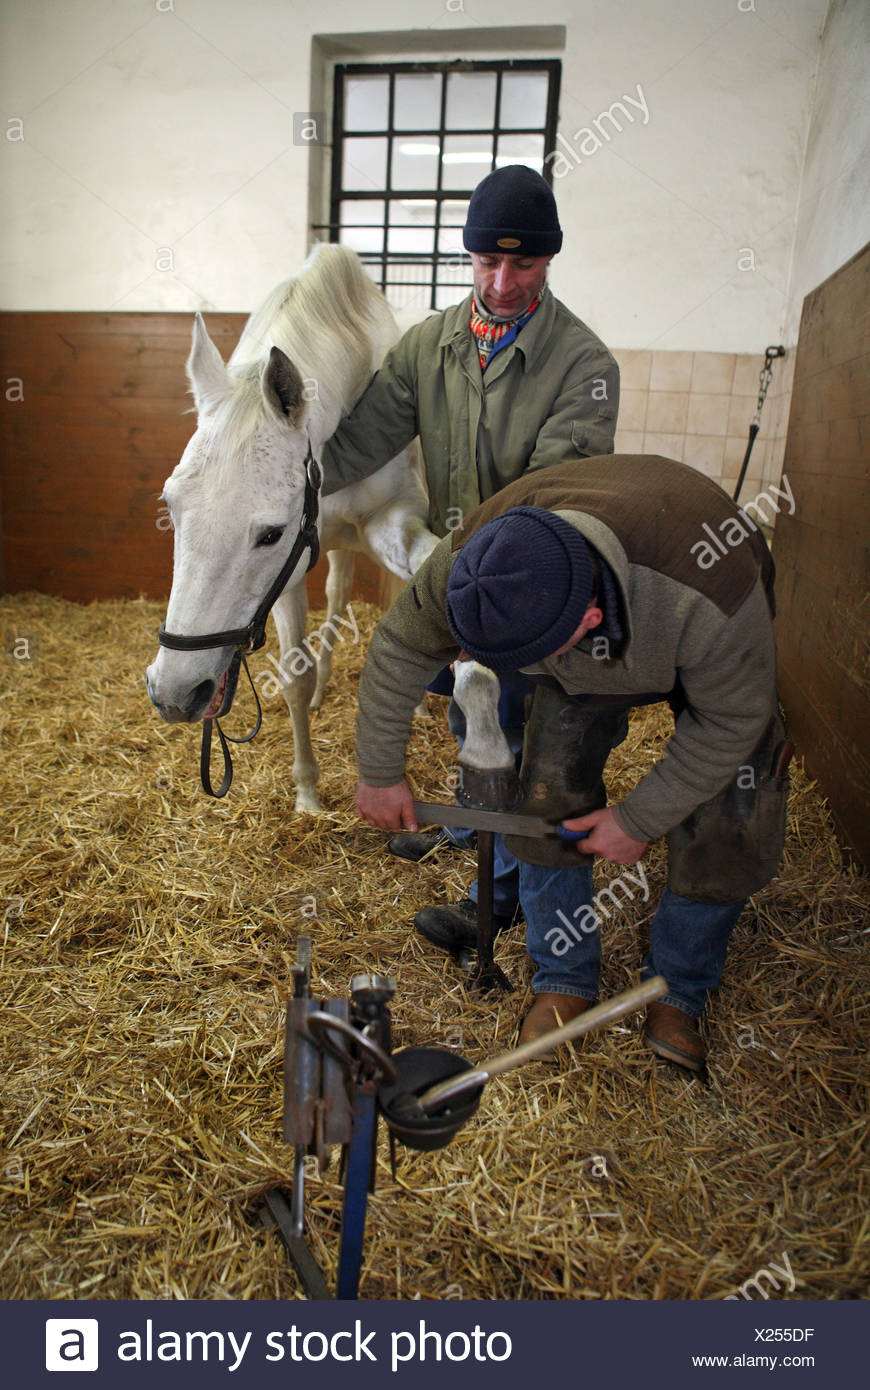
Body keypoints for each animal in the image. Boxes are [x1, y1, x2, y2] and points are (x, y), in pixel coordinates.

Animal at [145, 244, 447, 811]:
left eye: (271, 533)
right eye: (170, 508)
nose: (175, 693)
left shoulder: (390, 520)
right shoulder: (288, 575)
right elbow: (294, 678)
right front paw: (307, 790)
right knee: (337, 592)